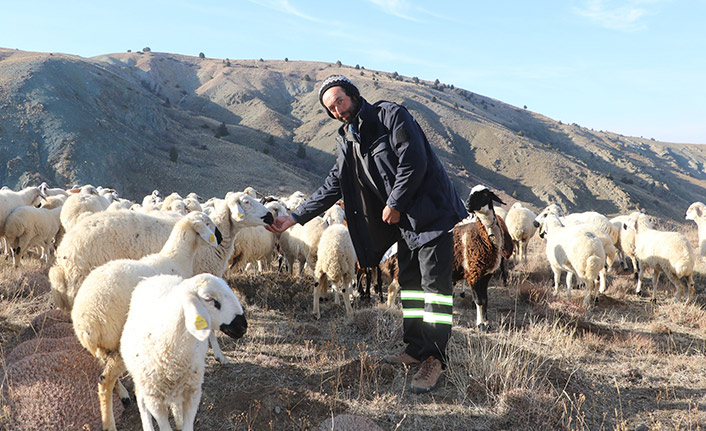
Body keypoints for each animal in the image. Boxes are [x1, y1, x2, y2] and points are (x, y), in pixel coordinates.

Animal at [71, 212, 220, 431]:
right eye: (208, 223)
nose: (220, 237)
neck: (176, 257)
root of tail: (87, 322)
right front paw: (177, 416)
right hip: (118, 341)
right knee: (104, 380)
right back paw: (110, 422)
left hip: (104, 348)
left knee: (104, 373)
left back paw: (123, 395)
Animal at [119, 274, 245, 431]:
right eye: (210, 299)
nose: (243, 326)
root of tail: (154, 277)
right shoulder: (154, 399)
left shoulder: (193, 392)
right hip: (141, 380)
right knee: (141, 401)